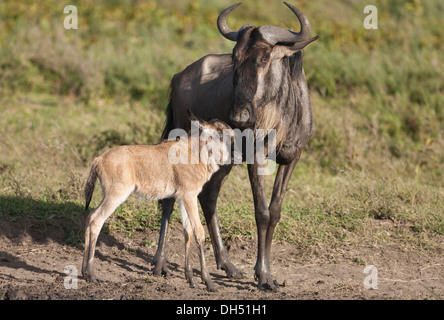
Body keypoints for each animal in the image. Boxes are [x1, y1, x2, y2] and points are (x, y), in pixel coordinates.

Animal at [82, 110, 232, 292]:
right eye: (220, 133)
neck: (194, 152)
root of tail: (99, 159)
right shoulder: (189, 196)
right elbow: (199, 232)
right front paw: (209, 282)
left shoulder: (182, 198)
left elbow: (187, 232)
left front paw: (191, 279)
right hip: (115, 195)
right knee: (97, 220)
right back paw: (92, 275)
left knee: (90, 216)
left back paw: (83, 273)